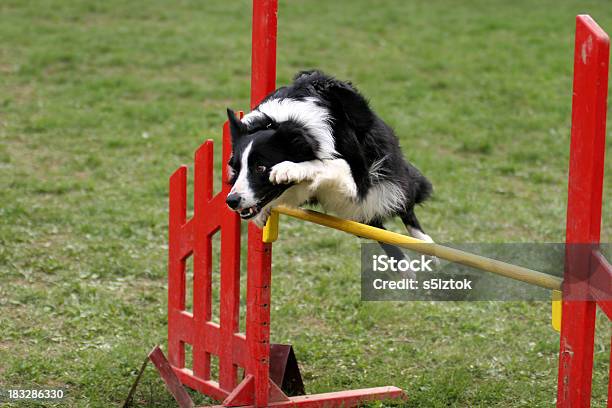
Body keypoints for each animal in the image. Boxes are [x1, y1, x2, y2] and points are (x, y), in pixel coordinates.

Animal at [227, 70, 432, 242]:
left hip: (384, 187)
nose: (231, 201)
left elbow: (324, 164)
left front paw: (288, 169)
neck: (277, 121)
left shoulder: (354, 183)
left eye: (260, 167)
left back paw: (426, 245)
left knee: (406, 207)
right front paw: (261, 214)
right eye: (236, 169)